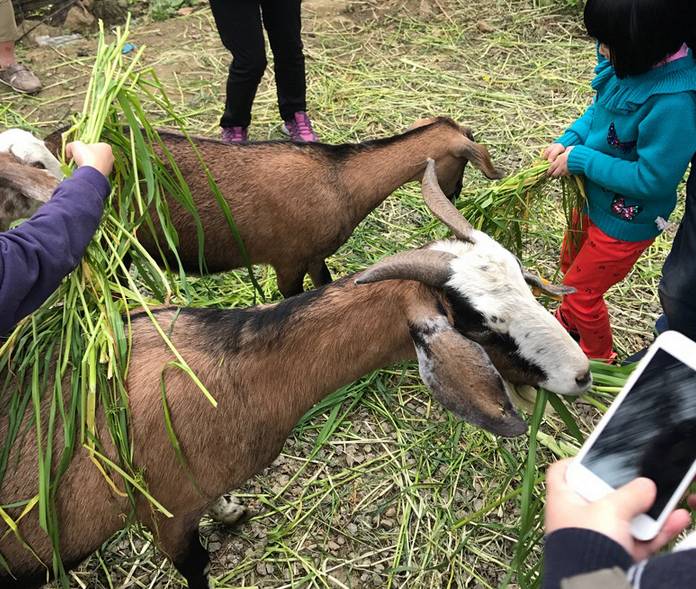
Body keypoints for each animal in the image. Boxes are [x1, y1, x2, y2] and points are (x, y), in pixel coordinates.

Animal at [42, 117, 500, 296]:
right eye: (463, 161)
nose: (456, 194)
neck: (340, 180)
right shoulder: (288, 260)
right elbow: (290, 298)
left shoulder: (314, 256)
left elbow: (324, 282)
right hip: (116, 244)